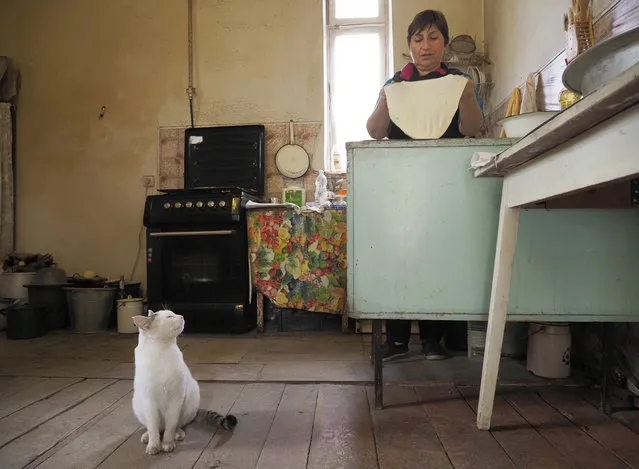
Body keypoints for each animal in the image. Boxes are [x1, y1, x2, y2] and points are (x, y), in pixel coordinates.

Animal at [132, 310, 238, 454]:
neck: (161, 352)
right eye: (169, 316)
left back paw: (178, 433)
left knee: (177, 424)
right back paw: (147, 436)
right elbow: (153, 427)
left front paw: (167, 443)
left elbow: (171, 425)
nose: (181, 316)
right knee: (156, 427)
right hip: (139, 405)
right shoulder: (149, 401)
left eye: (172, 313)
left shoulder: (176, 397)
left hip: (189, 402)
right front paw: (153, 445)